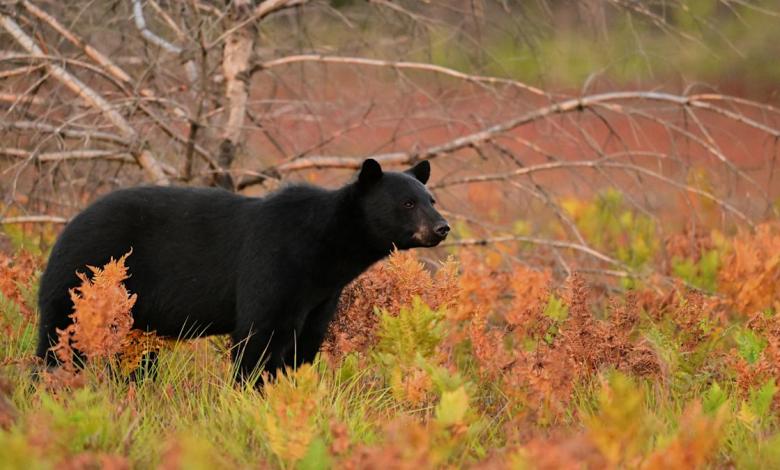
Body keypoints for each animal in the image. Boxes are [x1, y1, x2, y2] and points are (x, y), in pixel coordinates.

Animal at [36, 158, 449, 383]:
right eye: (408, 203)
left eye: (431, 199)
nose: (442, 227)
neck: (326, 249)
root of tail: (66, 228)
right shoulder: (273, 263)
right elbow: (259, 335)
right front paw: (248, 392)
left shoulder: (320, 295)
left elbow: (304, 345)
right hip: (87, 280)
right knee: (60, 338)